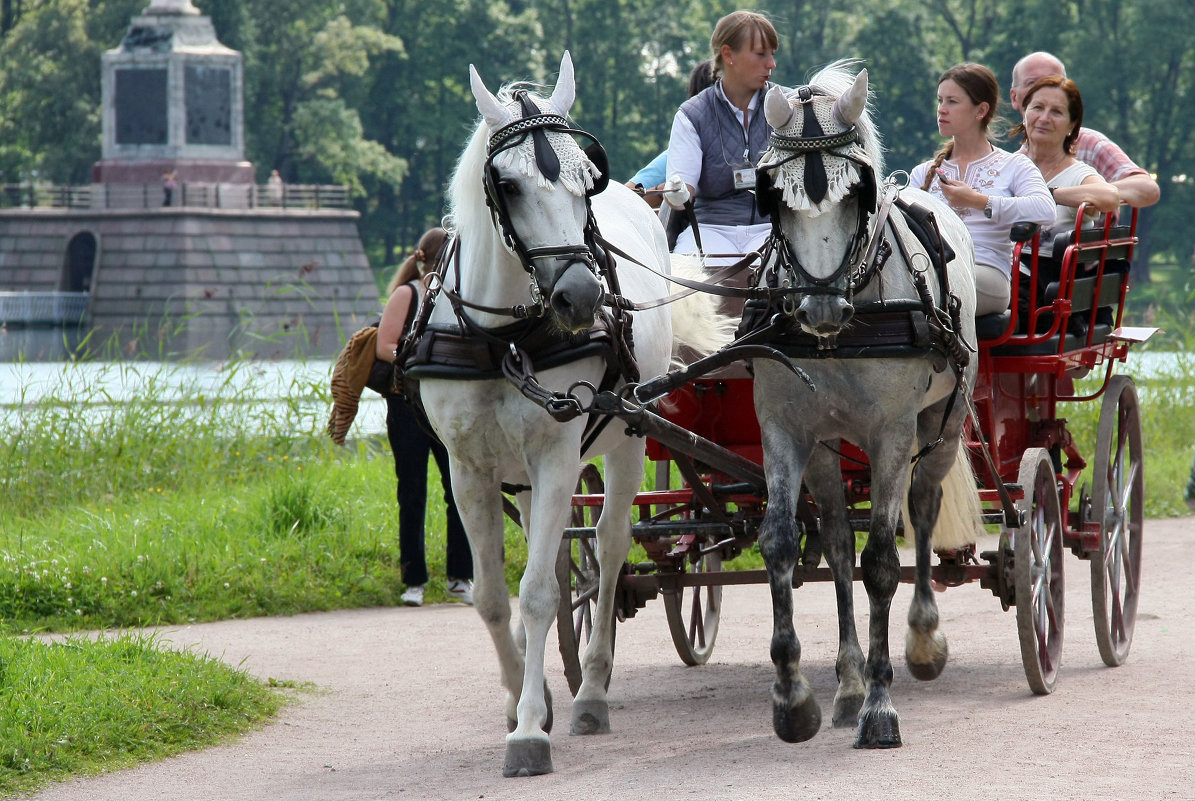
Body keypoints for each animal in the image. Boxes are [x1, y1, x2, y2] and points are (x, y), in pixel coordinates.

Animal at [750, 61, 984, 746]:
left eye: (856, 193)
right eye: (775, 198)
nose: (820, 308)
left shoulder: (892, 436)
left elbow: (882, 560)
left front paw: (882, 705)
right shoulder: (785, 430)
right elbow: (783, 544)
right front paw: (793, 697)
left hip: (941, 428)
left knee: (924, 511)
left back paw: (922, 640)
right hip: (829, 450)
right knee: (833, 542)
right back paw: (848, 683)